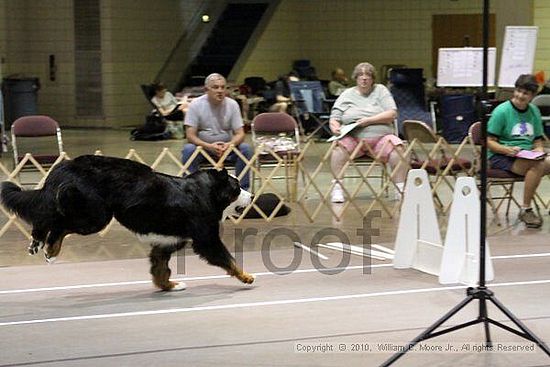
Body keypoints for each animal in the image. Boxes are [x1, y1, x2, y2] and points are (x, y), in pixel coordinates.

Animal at [0, 155, 254, 290]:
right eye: (236, 188)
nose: (251, 196)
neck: (205, 193)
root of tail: (64, 166)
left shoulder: (167, 242)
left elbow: (160, 269)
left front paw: (169, 286)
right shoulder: (207, 238)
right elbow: (228, 259)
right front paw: (247, 276)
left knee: (45, 216)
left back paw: (36, 243)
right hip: (94, 216)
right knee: (58, 223)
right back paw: (50, 250)